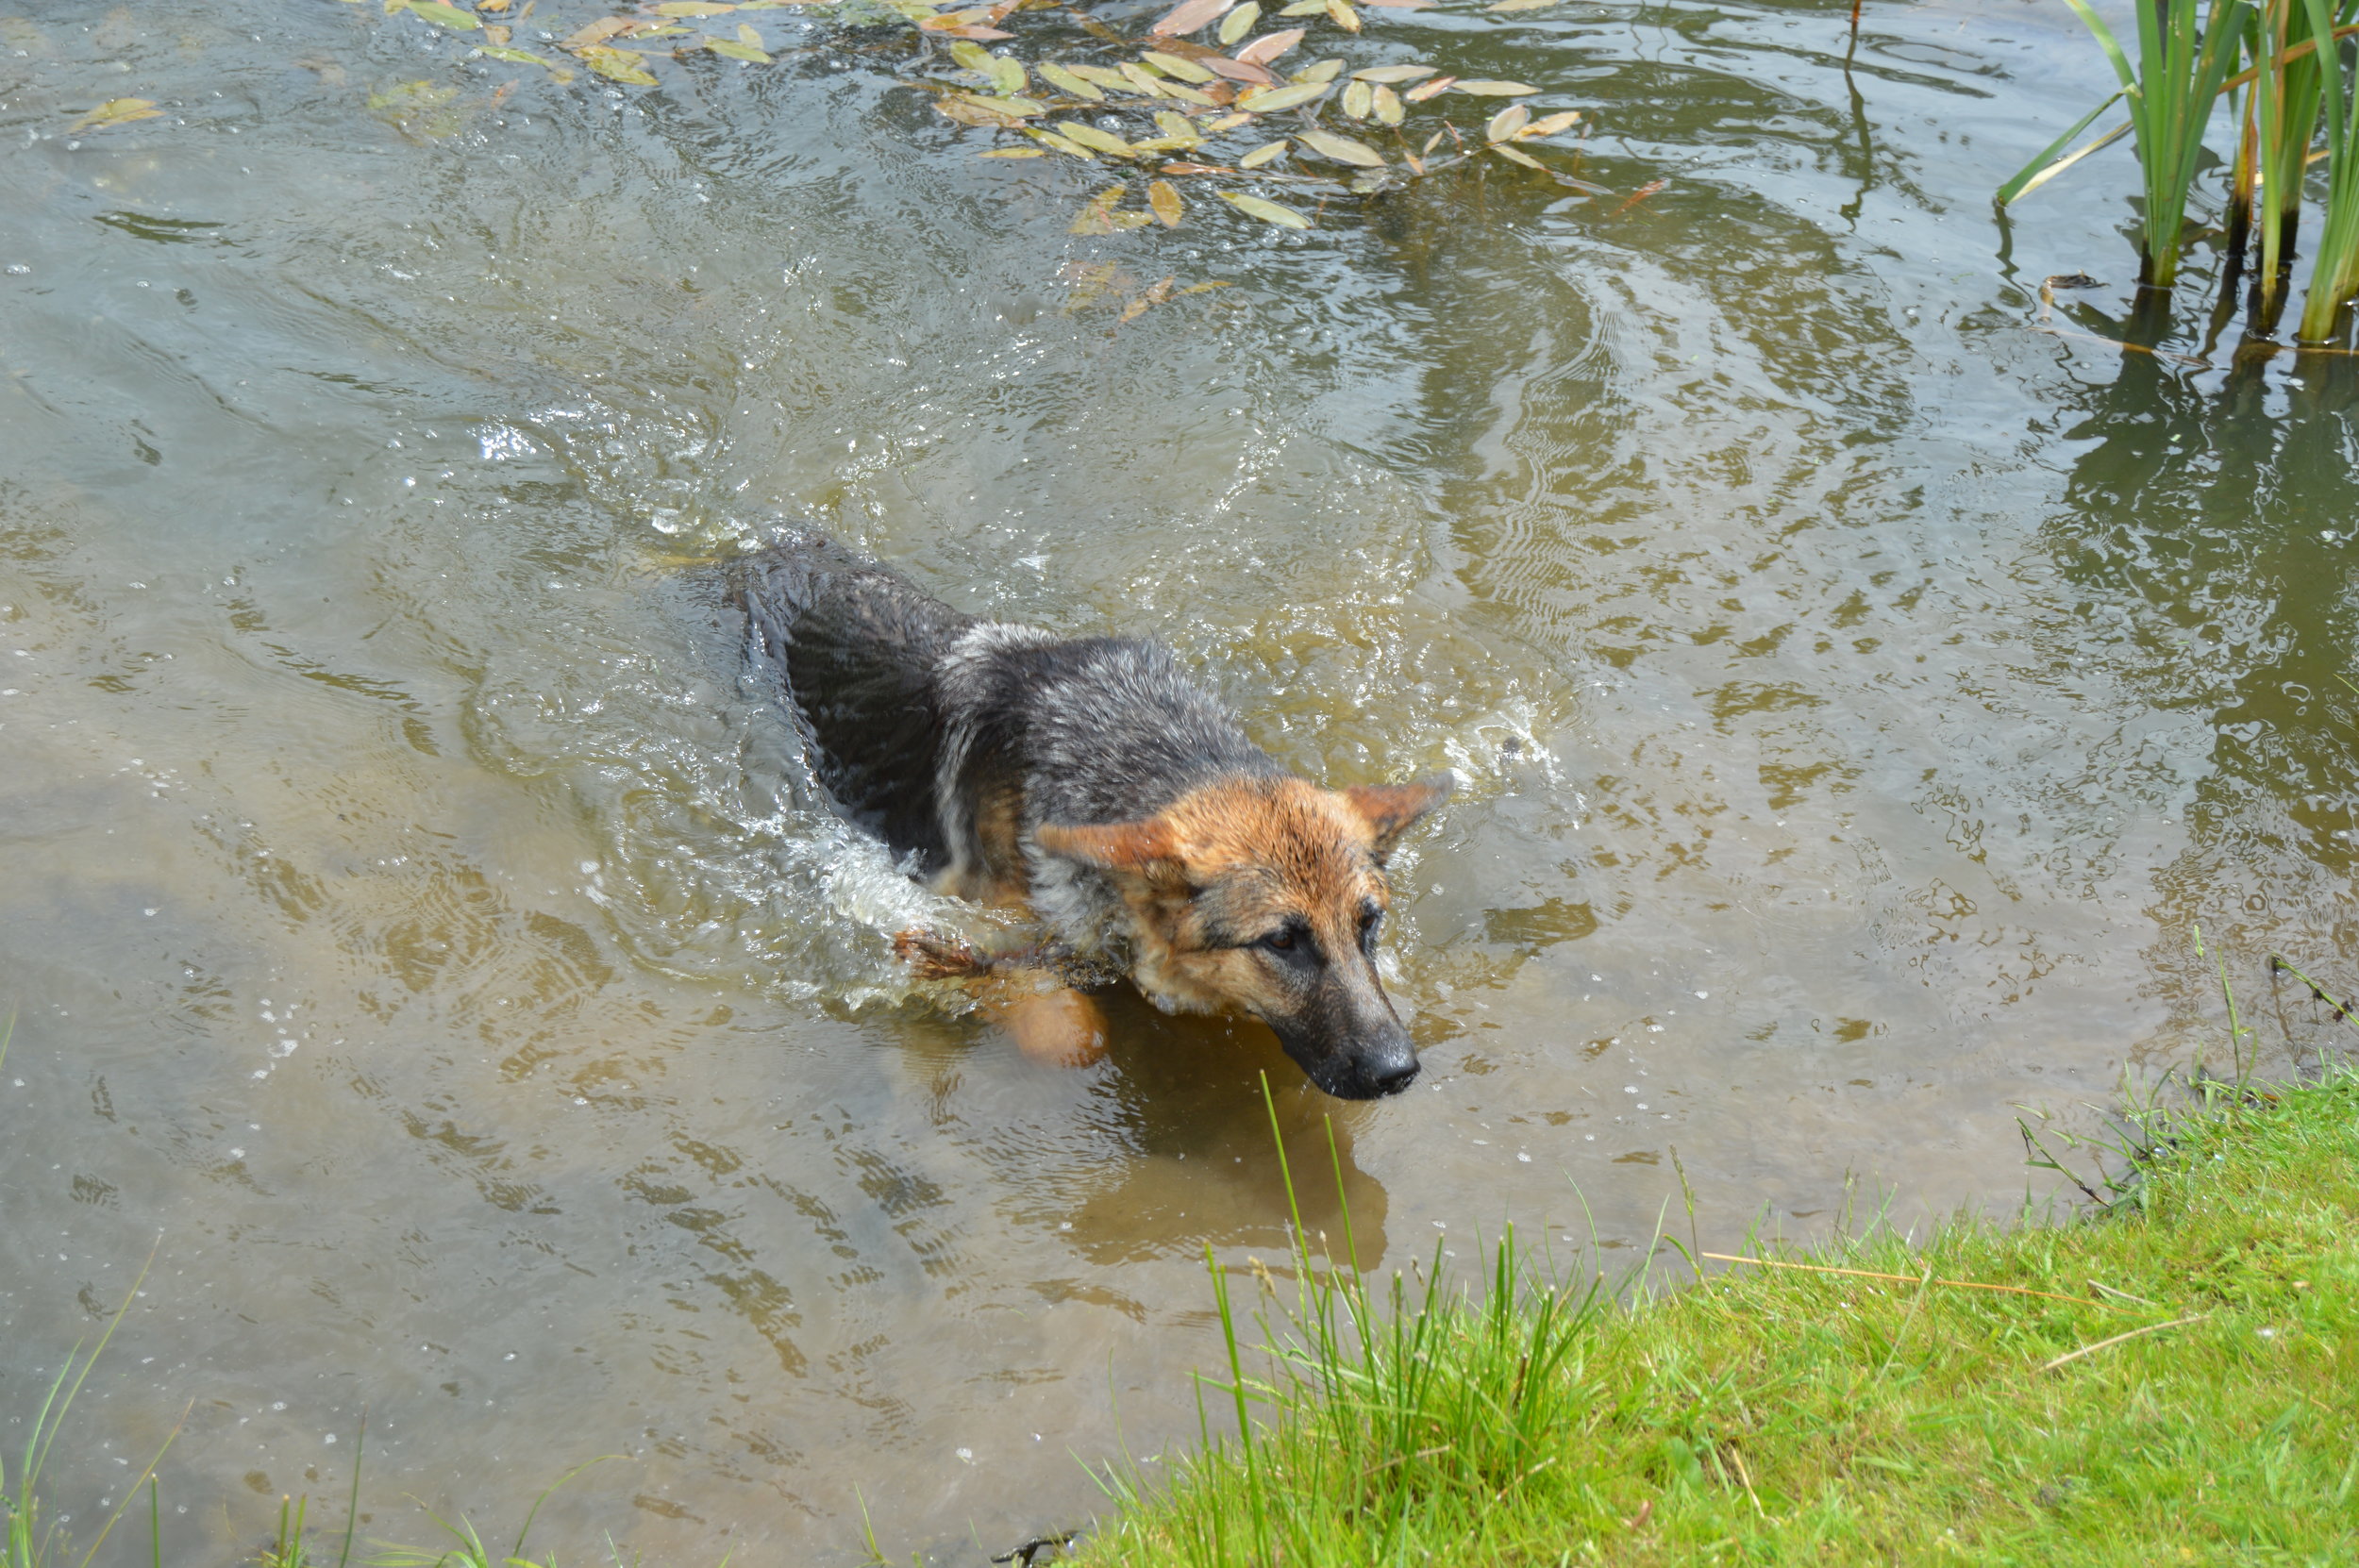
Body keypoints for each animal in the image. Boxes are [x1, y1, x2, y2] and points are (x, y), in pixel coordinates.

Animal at [727, 532, 1444, 1093]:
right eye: (1282, 941)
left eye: (1368, 924)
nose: (1399, 1072)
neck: (1139, 746)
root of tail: (768, 552)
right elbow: (1065, 1027)